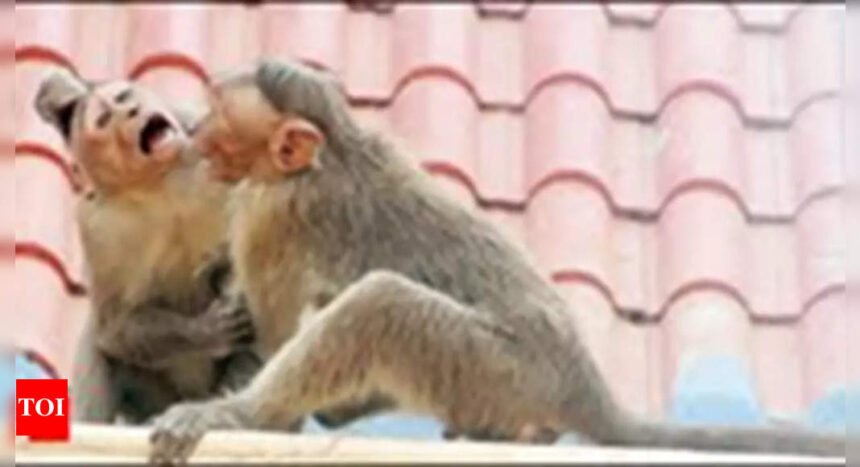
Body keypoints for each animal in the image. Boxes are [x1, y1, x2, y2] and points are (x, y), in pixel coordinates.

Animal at [34, 69, 261, 425]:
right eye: (105, 119)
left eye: (124, 99)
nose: (131, 112)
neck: (160, 181)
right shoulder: (97, 228)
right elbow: (114, 326)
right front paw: (204, 333)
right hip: (154, 401)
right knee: (100, 341)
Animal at [147, 59, 845, 464]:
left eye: (218, 114)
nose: (195, 131)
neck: (330, 153)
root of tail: (580, 379)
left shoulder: (273, 215)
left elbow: (276, 330)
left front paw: (245, 408)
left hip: (500, 368)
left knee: (380, 304)